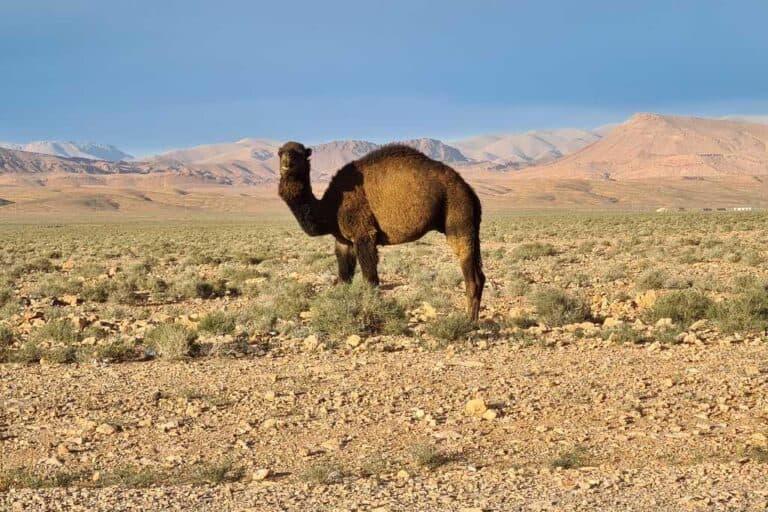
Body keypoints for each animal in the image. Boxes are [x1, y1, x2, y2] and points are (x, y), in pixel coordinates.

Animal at [278, 141, 486, 320]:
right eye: (281, 153)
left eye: (299, 154)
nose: (286, 164)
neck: (331, 208)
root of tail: (469, 189)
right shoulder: (343, 240)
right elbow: (344, 278)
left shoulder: (364, 233)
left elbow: (370, 280)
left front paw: (372, 312)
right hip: (470, 219)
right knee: (481, 275)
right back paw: (473, 319)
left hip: (458, 211)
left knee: (470, 272)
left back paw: (469, 322)